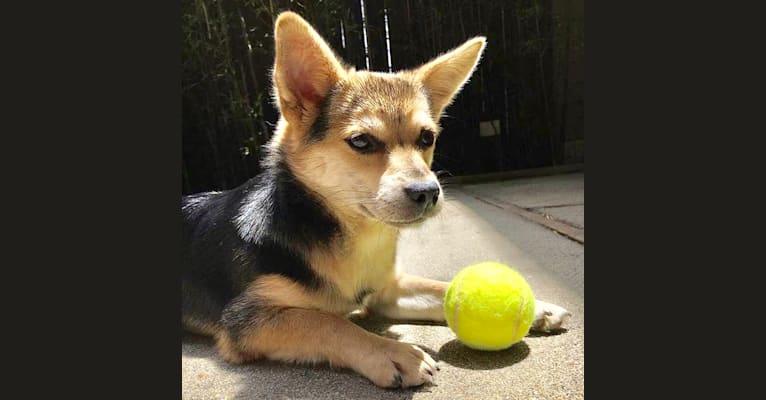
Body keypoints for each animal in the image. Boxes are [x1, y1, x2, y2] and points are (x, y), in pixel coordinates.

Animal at [184, 11, 568, 388]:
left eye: (427, 138)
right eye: (361, 141)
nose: (428, 192)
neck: (354, 236)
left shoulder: (387, 290)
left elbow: (438, 286)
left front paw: (539, 307)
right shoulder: (247, 321)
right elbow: (329, 323)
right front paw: (392, 352)